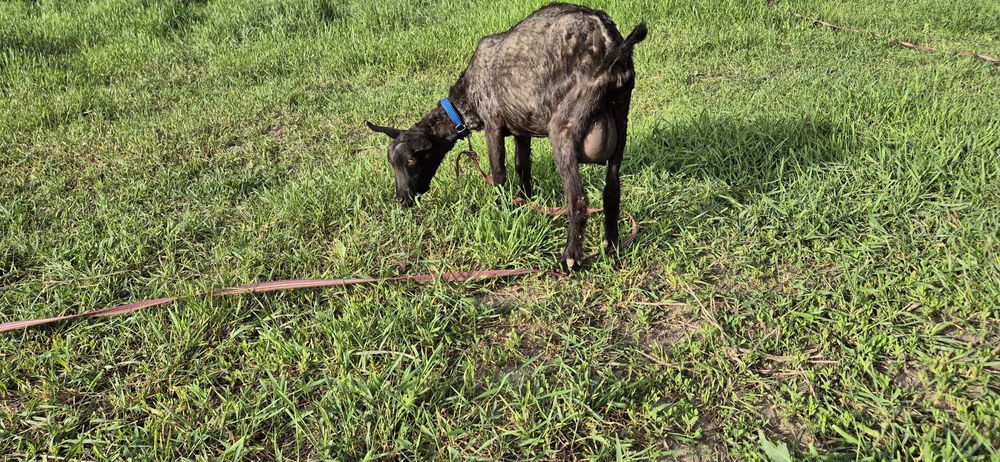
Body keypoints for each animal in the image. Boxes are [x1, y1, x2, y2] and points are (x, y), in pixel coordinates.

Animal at [366, 3, 647, 270]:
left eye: (412, 160)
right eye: (393, 163)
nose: (402, 200)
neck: (468, 95)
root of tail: (612, 45)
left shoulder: (493, 124)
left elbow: (499, 173)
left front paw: (502, 210)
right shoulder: (522, 131)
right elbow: (522, 166)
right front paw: (527, 202)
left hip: (564, 127)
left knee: (578, 198)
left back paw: (570, 258)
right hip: (621, 119)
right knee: (612, 189)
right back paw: (611, 246)